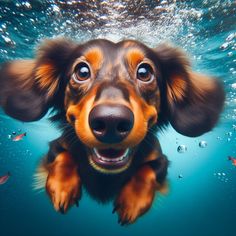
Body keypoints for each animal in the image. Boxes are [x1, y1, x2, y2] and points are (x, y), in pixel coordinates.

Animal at [0, 38, 225, 225]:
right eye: (82, 71)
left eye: (145, 72)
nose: (110, 121)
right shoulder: (57, 145)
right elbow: (63, 155)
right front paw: (62, 188)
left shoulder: (161, 160)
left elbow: (149, 169)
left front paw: (132, 202)